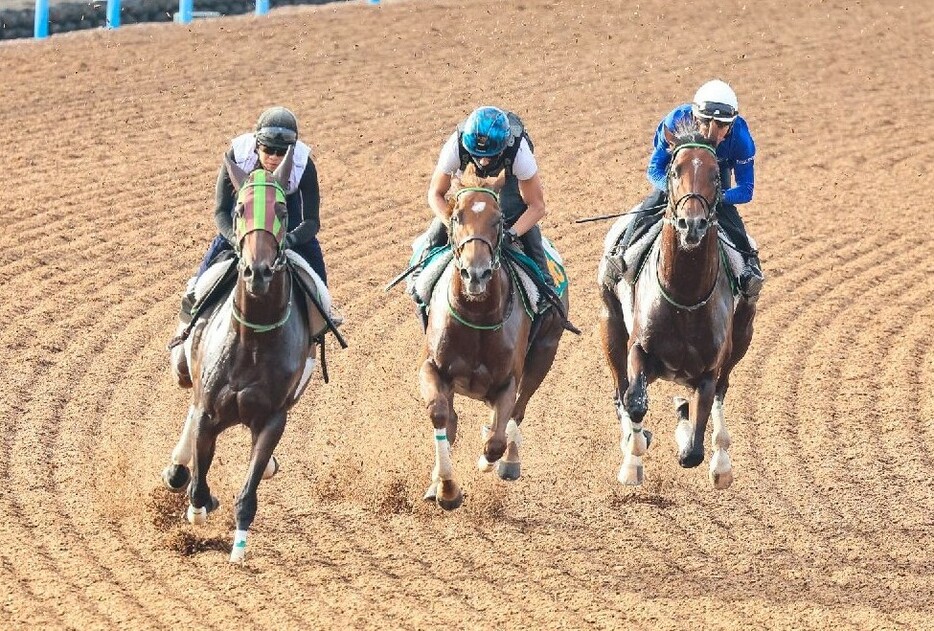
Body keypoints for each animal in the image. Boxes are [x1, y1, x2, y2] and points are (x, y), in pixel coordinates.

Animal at [162, 149, 322, 564]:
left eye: (281, 209)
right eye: (239, 208)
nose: (258, 271)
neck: (253, 341)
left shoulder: (271, 420)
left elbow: (249, 492)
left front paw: (238, 552)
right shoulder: (208, 412)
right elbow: (199, 485)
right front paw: (198, 507)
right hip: (185, 370)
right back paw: (177, 471)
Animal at [418, 165, 568, 512]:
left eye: (498, 220)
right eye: (456, 216)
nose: (476, 273)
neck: (476, 318)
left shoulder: (507, 382)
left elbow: (496, 440)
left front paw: (488, 461)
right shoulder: (432, 368)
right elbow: (441, 416)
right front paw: (446, 488)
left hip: (545, 352)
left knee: (518, 413)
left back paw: (509, 462)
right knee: (454, 420)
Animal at [604, 123, 756, 488]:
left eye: (716, 174)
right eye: (675, 171)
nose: (693, 224)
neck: (684, 299)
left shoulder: (709, 370)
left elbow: (693, 453)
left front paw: (698, 444)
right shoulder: (638, 349)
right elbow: (635, 402)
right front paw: (632, 462)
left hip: (743, 335)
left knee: (721, 392)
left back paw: (720, 461)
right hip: (610, 323)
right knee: (620, 392)